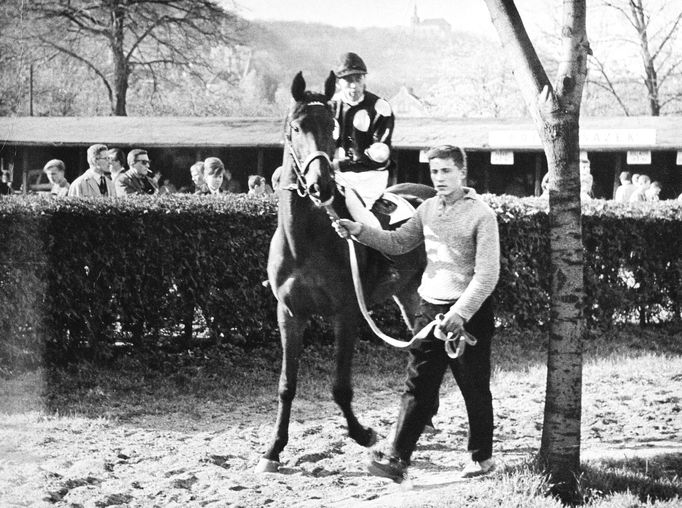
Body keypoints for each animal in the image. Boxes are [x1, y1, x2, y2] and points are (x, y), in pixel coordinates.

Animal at [255, 70, 436, 472]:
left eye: (332, 128)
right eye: (295, 128)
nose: (320, 184)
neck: (306, 240)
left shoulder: (347, 313)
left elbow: (340, 386)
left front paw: (362, 433)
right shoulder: (289, 314)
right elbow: (286, 385)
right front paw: (273, 449)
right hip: (409, 295)